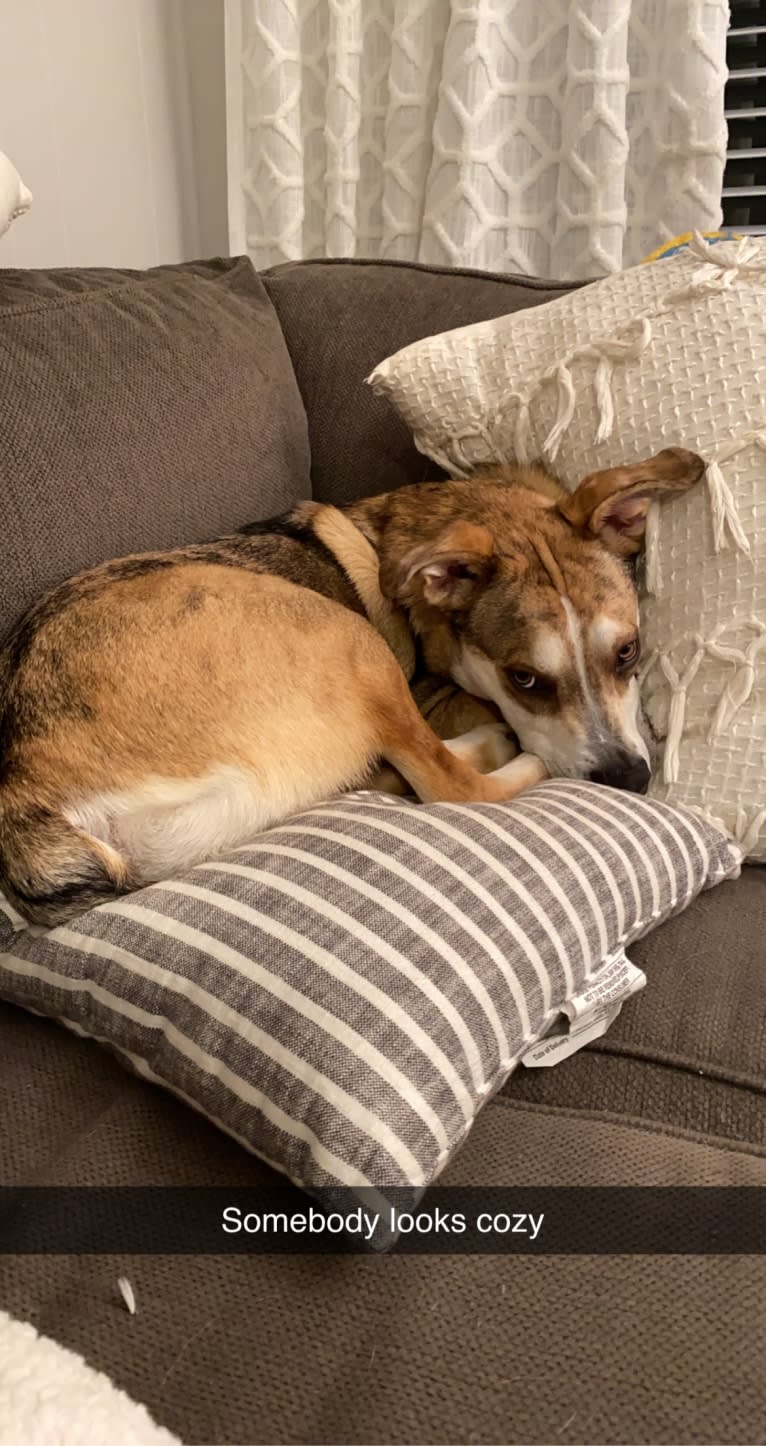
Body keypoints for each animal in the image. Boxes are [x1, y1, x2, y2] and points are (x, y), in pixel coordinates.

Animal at [0, 445, 699, 925]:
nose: (629, 779)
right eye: (524, 678)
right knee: (449, 782)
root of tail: (25, 797)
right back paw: (501, 750)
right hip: (348, 638)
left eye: (629, 651)